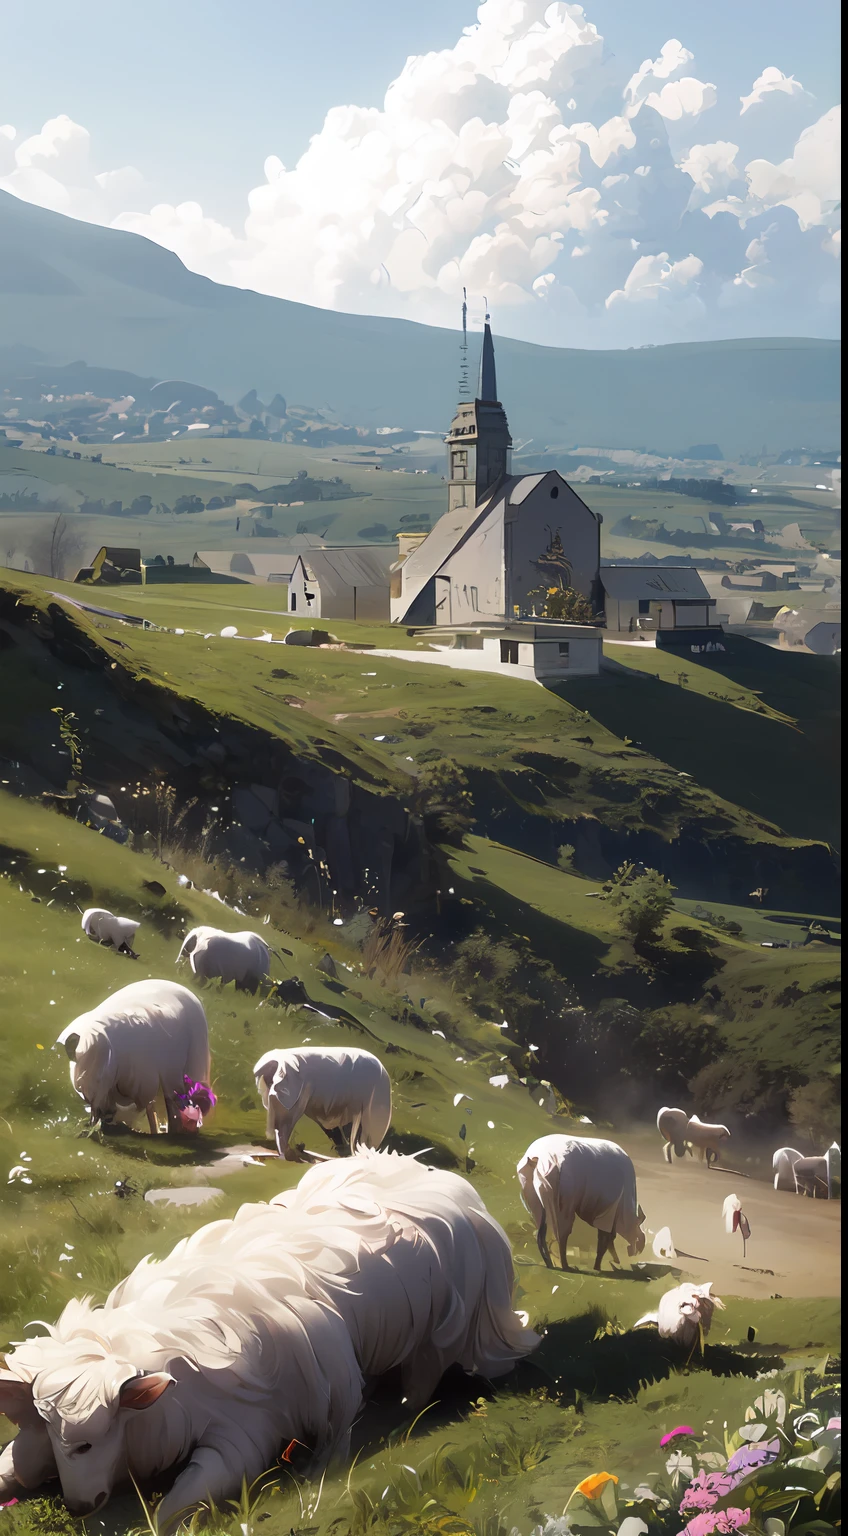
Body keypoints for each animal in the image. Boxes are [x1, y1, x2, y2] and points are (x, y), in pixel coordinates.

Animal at [0, 1148, 540, 1529]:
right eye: (58, 1437)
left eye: (88, 1444)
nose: (76, 1506)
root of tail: (447, 1184)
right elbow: (13, 1460)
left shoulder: (242, 1435)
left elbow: (182, 1500)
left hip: (438, 1335)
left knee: (417, 1384)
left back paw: (380, 1432)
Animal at [513, 1130, 645, 1271]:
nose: (617, 1260)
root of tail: (538, 1158)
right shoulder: (608, 1212)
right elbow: (604, 1240)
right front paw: (597, 1267)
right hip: (561, 1200)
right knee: (561, 1234)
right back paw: (565, 1265)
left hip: (533, 1196)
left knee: (541, 1233)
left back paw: (549, 1263)